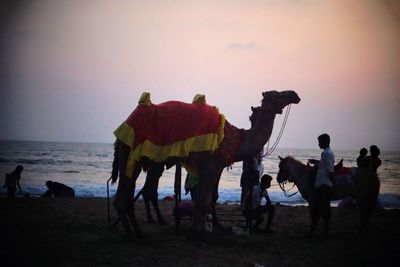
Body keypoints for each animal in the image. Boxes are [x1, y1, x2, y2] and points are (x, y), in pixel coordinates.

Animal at [111, 91, 298, 240]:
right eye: (278, 94)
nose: (295, 95)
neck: (235, 140)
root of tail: (124, 126)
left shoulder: (206, 169)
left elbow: (201, 200)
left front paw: (198, 230)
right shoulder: (212, 166)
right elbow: (204, 200)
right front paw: (199, 233)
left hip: (135, 161)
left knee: (131, 195)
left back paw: (139, 232)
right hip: (131, 152)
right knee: (124, 197)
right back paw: (133, 235)